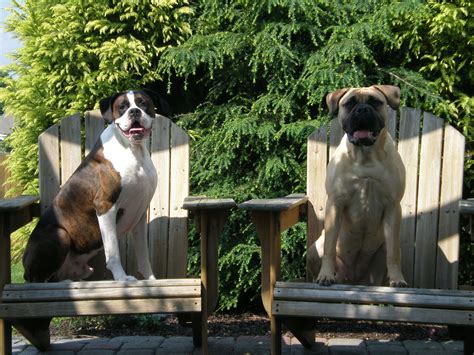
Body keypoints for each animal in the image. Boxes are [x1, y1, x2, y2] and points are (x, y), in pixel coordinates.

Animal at [23, 91, 157, 284]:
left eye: (143, 103)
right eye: (122, 107)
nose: (134, 112)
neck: (133, 151)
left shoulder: (139, 214)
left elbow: (143, 256)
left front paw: (152, 280)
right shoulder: (105, 206)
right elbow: (113, 252)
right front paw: (122, 278)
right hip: (60, 235)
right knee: (38, 280)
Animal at [308, 85, 408, 290]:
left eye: (375, 102)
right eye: (349, 103)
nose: (362, 110)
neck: (365, 157)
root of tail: (353, 278)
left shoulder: (393, 206)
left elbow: (393, 254)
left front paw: (398, 279)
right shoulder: (335, 203)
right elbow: (329, 248)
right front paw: (325, 275)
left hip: (383, 247)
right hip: (313, 250)